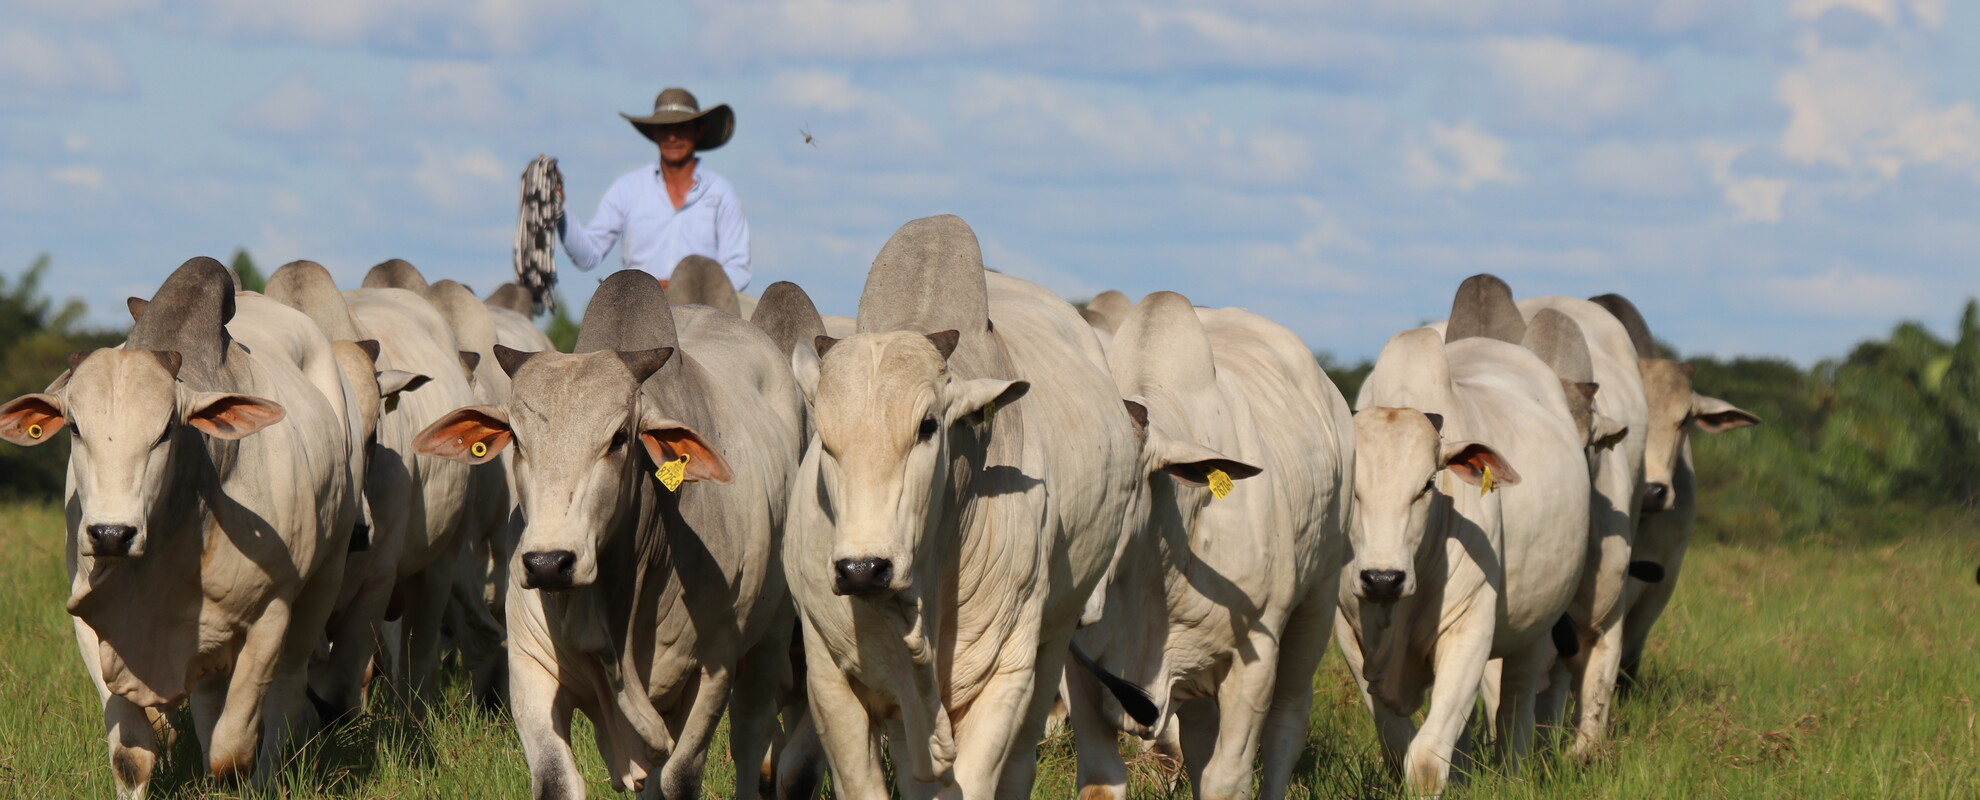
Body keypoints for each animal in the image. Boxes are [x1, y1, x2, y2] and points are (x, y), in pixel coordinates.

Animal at [0, 257, 355, 798]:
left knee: (287, 697)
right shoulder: (94, 622)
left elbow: (232, 754)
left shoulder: (270, 613)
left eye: (166, 429)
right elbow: (131, 757)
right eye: (75, 428)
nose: (110, 534)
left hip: (323, 580)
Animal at [416, 269, 803, 799]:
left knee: (750, 736)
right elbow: (556, 780)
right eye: (515, 438)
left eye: (620, 437)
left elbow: (679, 778)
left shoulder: (714, 669)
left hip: (770, 637)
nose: (548, 563)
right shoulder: (530, 664)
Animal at [781, 215, 1140, 799]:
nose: (863, 568)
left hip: (1055, 636)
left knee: (1019, 761)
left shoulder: (1005, 675)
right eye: (825, 438)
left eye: (928, 426)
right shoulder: (830, 681)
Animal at [1068, 292, 1354, 800]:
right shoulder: (1079, 669)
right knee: (1199, 738)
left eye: (1123, 484)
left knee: (1286, 726)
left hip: (1316, 603)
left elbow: (1227, 780)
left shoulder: (1254, 659)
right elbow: (1103, 780)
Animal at [1338, 323, 1589, 795]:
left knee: (1515, 704)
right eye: (1351, 489)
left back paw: (1511, 774)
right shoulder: (1350, 636)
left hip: (1536, 625)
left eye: (1427, 484)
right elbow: (1399, 745)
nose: (1382, 578)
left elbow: (1424, 761)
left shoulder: (1469, 627)